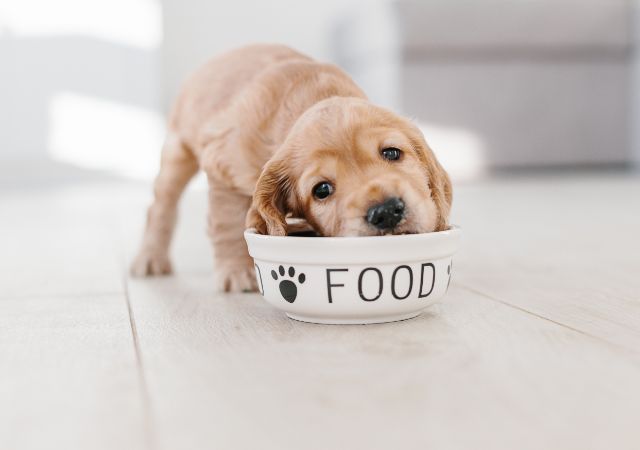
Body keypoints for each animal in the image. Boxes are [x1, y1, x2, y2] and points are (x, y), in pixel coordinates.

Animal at [131, 44, 450, 292]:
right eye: (322, 189)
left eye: (392, 152)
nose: (385, 212)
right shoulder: (223, 167)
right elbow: (228, 222)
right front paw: (236, 272)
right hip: (177, 152)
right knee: (160, 206)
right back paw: (150, 258)